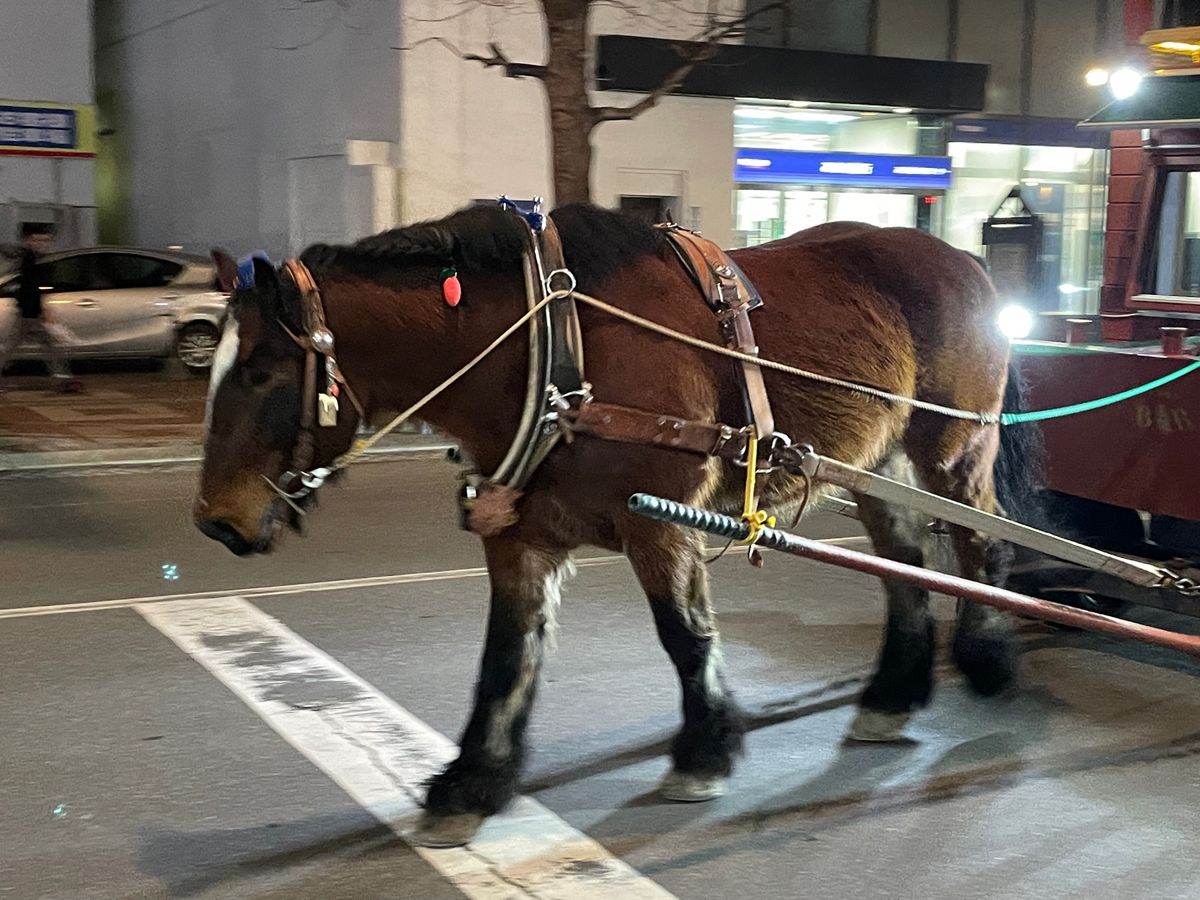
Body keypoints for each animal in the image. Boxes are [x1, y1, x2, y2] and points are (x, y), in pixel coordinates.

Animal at [196, 203, 1032, 847]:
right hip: (877, 461)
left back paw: (987, 658)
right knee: (904, 565)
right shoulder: (520, 535)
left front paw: (703, 753)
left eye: (263, 371)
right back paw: (893, 696)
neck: (554, 349)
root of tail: (962, 257)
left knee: (980, 543)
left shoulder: (660, 525)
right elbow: (506, 657)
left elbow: (686, 636)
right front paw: (472, 783)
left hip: (953, 451)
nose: (214, 521)